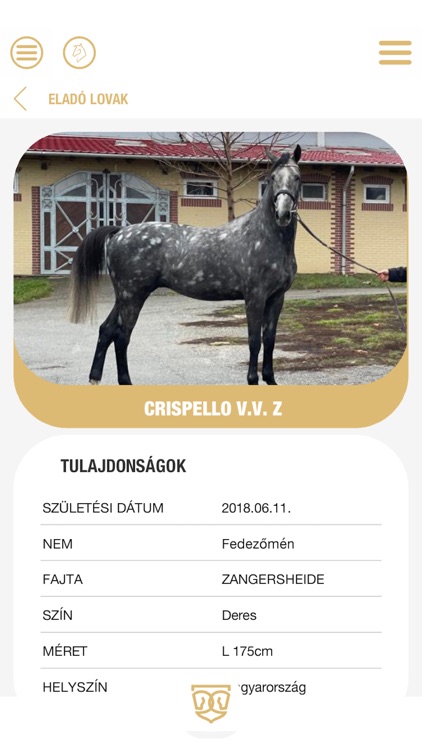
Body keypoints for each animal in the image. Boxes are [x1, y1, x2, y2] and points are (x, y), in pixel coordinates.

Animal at [69, 145, 301, 385]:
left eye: (297, 177)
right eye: (272, 178)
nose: (283, 213)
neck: (264, 236)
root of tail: (120, 232)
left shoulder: (276, 298)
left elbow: (270, 339)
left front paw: (270, 379)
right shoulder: (254, 297)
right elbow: (254, 340)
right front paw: (253, 380)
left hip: (124, 297)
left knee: (107, 330)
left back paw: (95, 378)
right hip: (132, 296)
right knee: (122, 336)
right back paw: (125, 380)